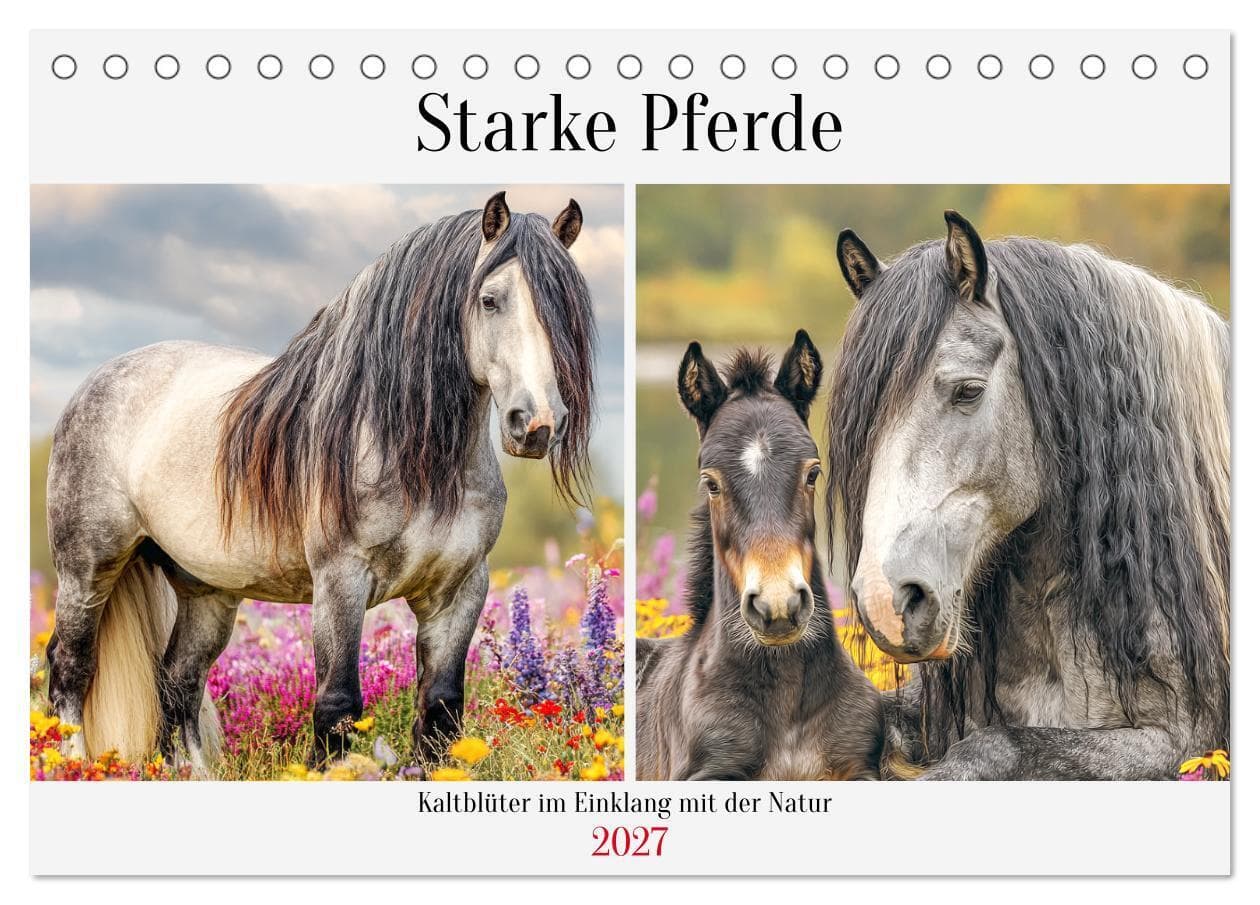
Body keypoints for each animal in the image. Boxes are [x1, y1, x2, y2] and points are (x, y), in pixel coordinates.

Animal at [44, 191, 595, 774]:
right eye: (490, 300)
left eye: (566, 308)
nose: (536, 424)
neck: (418, 459)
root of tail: (97, 382)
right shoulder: (340, 581)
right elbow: (338, 704)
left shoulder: (460, 588)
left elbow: (441, 706)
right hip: (88, 567)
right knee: (71, 666)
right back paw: (70, 764)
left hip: (207, 590)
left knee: (178, 681)